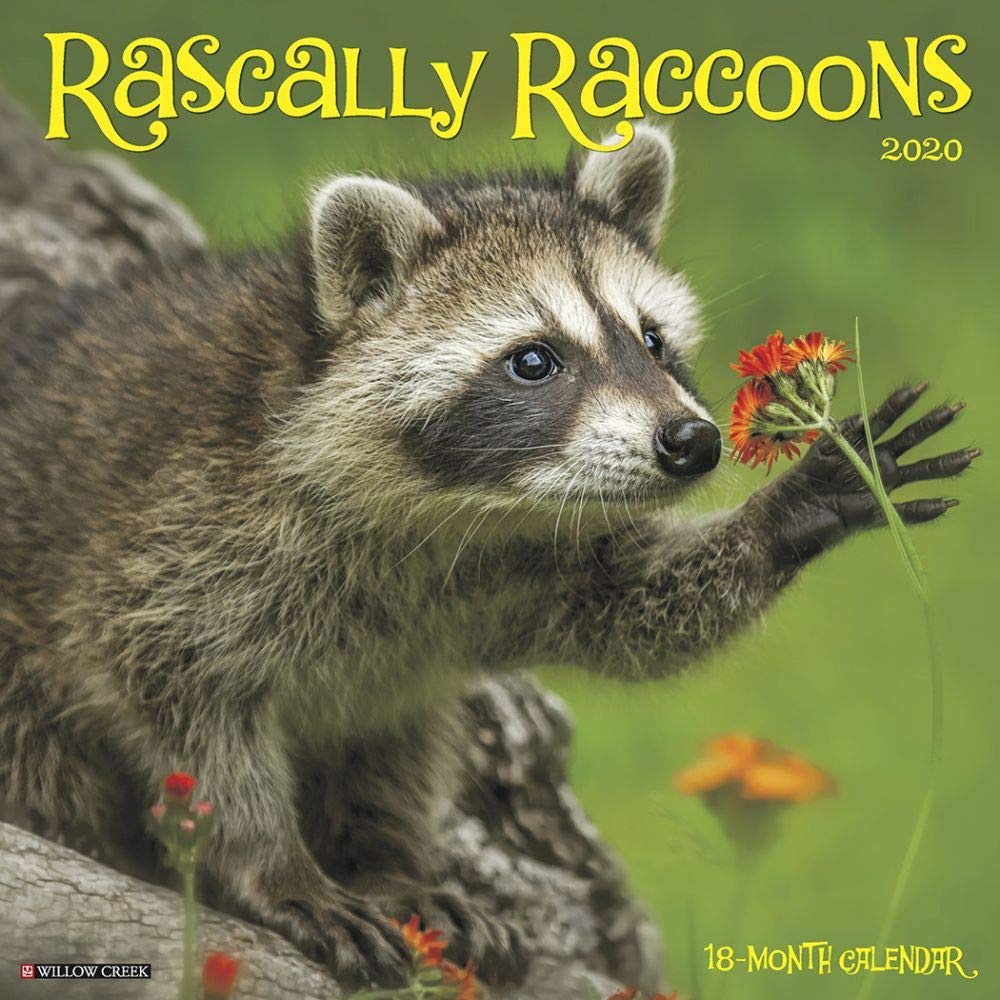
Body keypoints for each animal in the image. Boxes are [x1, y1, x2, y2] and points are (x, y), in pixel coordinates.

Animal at [0, 125, 977, 986]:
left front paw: (792, 509)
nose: (692, 443)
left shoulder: (517, 563)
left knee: (395, 734)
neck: (454, 510)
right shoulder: (181, 537)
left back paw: (390, 856)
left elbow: (632, 609)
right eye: (534, 361)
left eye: (651, 340)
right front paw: (272, 865)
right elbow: (185, 707)